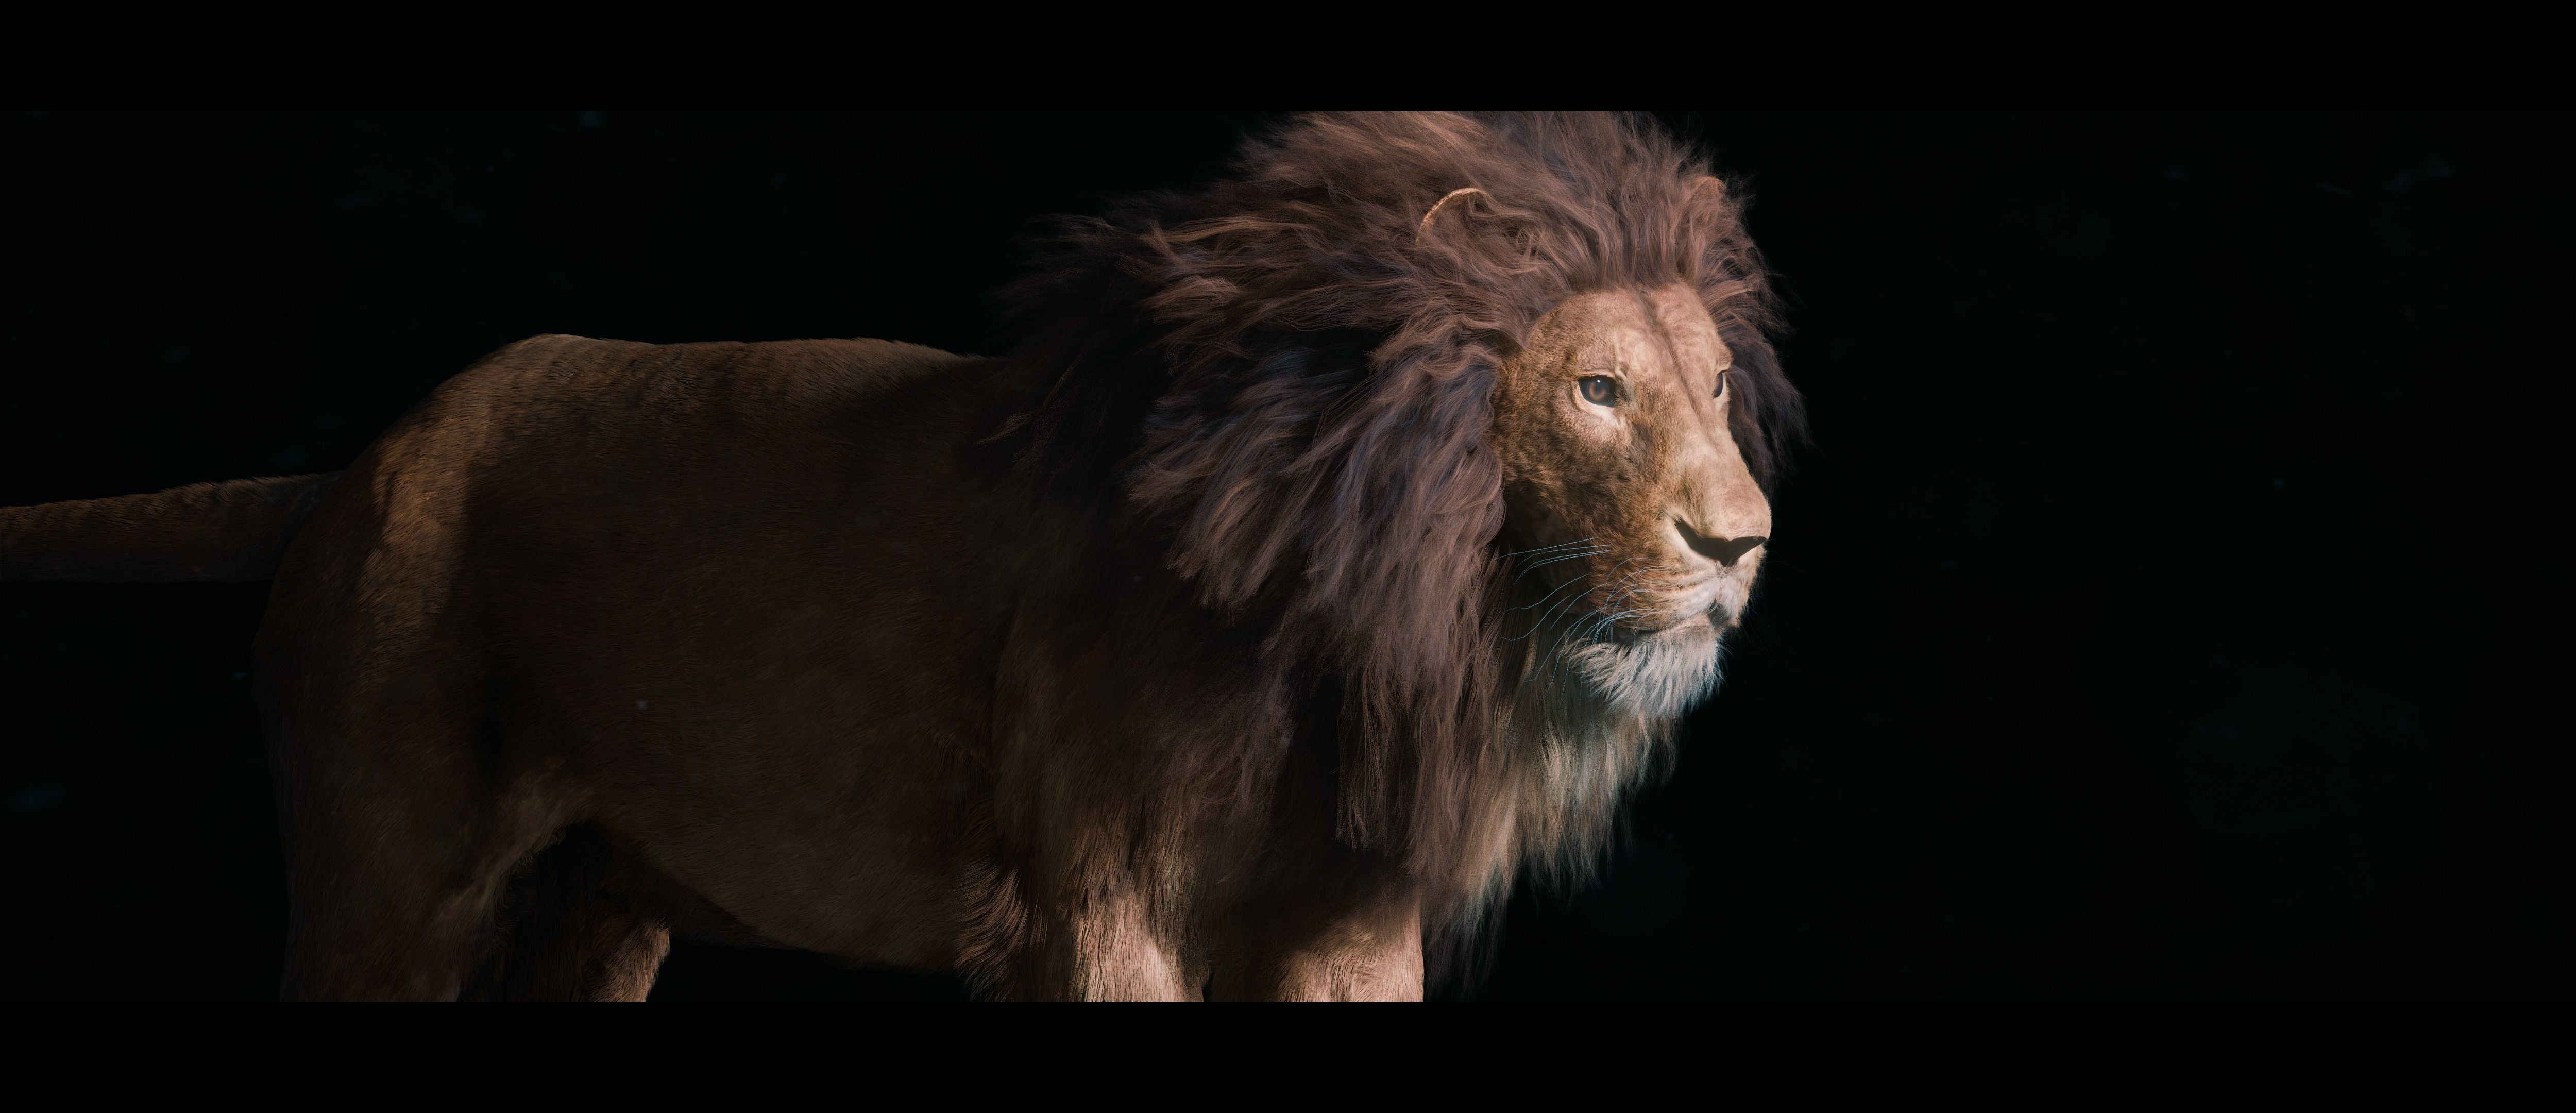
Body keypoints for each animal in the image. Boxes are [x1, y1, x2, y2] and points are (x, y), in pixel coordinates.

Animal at [0, 112, 1800, 1000]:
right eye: (1596, 391)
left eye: (1716, 389)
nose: (1742, 544)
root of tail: (367, 463)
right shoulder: (1099, 912)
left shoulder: (1344, 932)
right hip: (392, 885)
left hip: (597, 915)